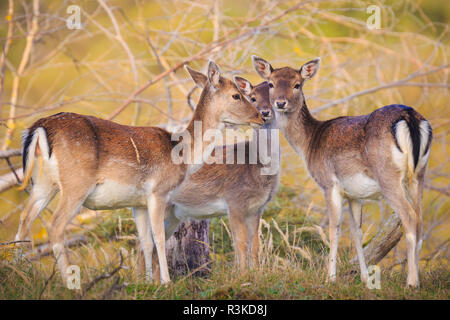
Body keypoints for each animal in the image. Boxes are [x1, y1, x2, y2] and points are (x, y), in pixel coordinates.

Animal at [14, 61, 264, 284]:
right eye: (236, 95)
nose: (260, 116)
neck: (182, 155)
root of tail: (40, 128)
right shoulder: (158, 191)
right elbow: (160, 238)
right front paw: (165, 282)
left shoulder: (138, 202)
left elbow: (145, 241)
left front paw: (147, 283)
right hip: (76, 183)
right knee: (54, 226)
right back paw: (70, 285)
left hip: (42, 183)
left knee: (25, 221)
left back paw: (17, 276)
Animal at [251, 55, 430, 288]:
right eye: (271, 83)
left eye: (297, 84)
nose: (280, 103)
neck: (309, 144)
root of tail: (410, 117)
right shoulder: (355, 194)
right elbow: (356, 231)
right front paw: (364, 278)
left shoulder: (329, 184)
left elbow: (333, 228)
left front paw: (330, 277)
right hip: (419, 174)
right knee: (420, 219)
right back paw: (417, 277)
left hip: (388, 176)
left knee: (409, 217)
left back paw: (411, 282)